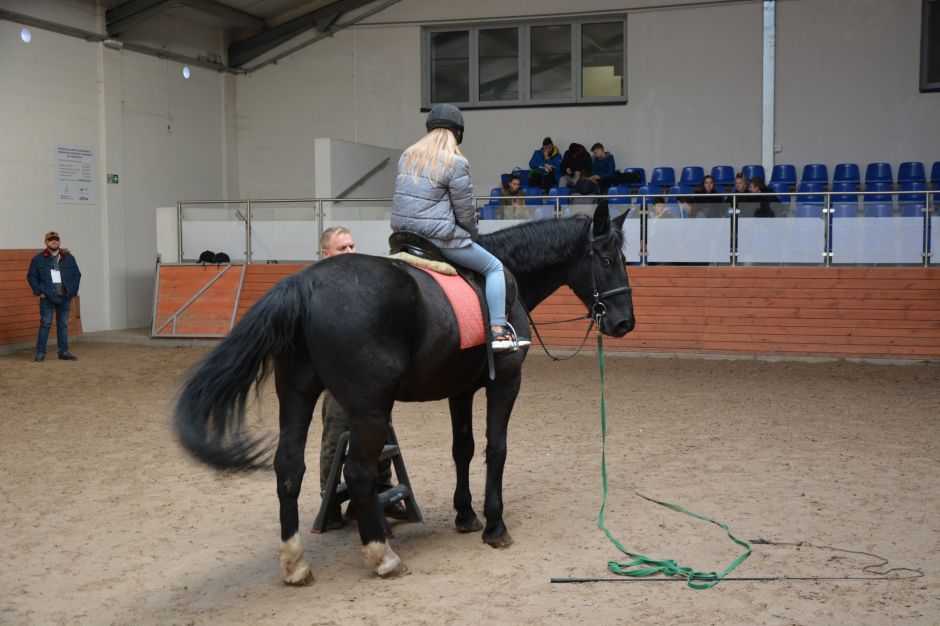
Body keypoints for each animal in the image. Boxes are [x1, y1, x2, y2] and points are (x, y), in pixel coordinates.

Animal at [173, 202, 635, 584]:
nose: (624, 323)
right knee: (357, 472)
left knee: (289, 469)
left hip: (297, 396)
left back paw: (295, 563)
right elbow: (496, 448)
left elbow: (463, 449)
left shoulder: (460, 390)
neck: (504, 276)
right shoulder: (504, 383)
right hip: (369, 410)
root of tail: (306, 284)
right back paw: (382, 556)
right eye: (608, 259)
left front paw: (465, 514)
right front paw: (494, 525)